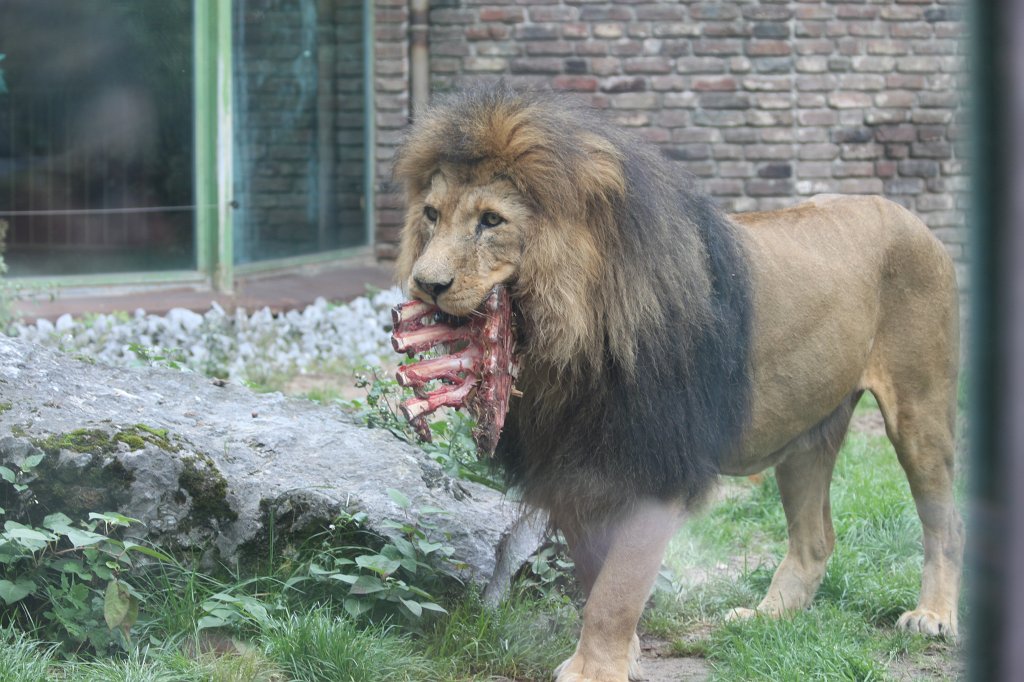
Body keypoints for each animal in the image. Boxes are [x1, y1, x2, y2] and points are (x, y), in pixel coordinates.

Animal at [392, 85, 963, 682]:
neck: (566, 353)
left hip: (920, 409)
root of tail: (906, 214)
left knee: (945, 521)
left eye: (491, 220)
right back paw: (768, 616)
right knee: (816, 538)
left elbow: (617, 589)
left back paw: (932, 616)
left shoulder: (659, 466)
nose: (427, 284)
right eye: (431, 214)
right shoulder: (570, 466)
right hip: (806, 433)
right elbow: (595, 574)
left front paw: (594, 670)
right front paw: (626, 656)